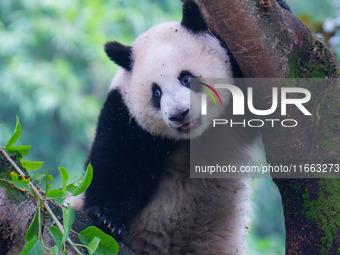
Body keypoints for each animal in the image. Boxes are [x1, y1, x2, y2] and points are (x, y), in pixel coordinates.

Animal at [71, 0, 290, 254]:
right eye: (156, 92)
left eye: (186, 78)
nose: (179, 114)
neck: (195, 138)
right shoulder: (126, 117)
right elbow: (116, 162)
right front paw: (108, 220)